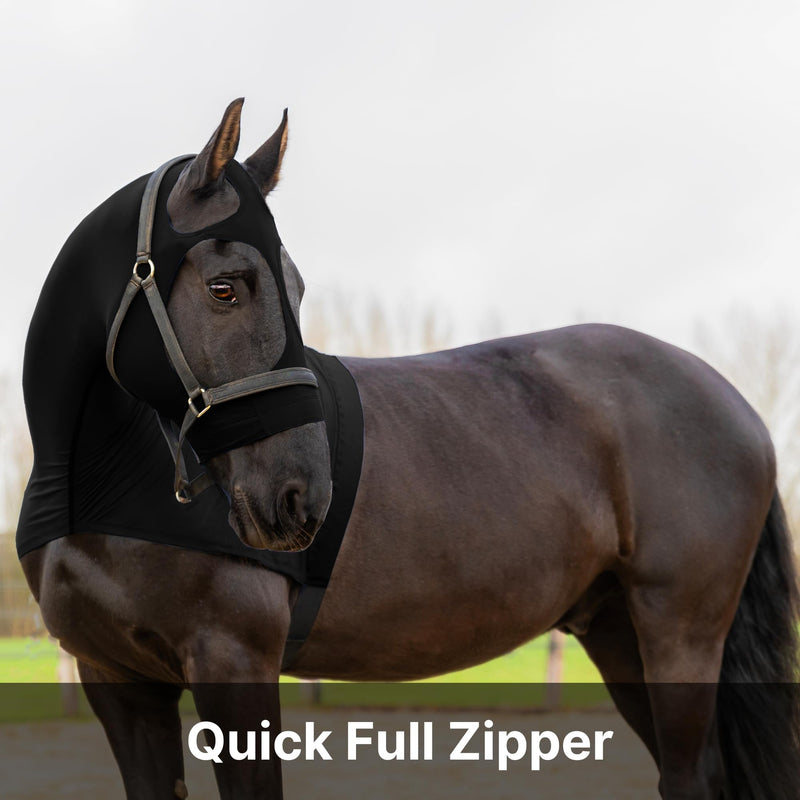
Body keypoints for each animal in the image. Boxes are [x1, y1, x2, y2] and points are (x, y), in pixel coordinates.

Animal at [18, 98, 800, 800]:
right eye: (225, 288)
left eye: (295, 287)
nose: (301, 497)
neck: (102, 486)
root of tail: (734, 404)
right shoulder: (117, 682)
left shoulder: (233, 662)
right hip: (616, 631)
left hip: (680, 629)